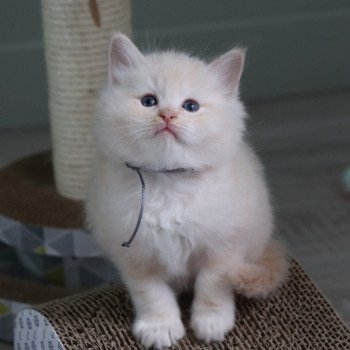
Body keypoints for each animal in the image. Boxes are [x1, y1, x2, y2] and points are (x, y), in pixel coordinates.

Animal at [86, 32, 288, 348]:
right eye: (149, 101)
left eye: (190, 106)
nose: (168, 115)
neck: (169, 181)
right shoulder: (136, 258)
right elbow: (152, 295)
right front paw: (160, 329)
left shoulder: (224, 248)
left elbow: (212, 286)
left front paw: (211, 324)